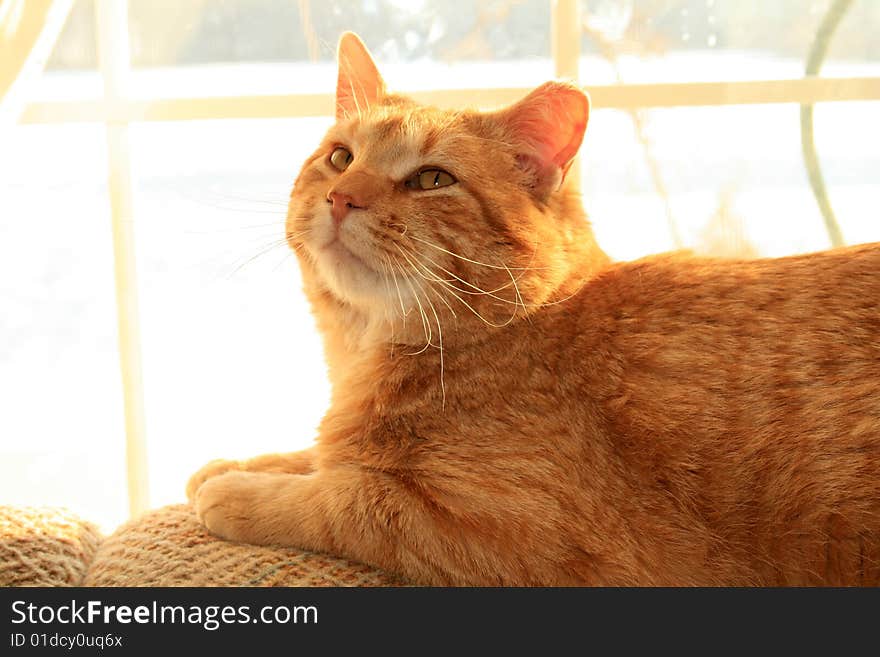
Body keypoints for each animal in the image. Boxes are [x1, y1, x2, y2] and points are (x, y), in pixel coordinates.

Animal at [187, 32, 880, 584]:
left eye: (432, 180)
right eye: (340, 157)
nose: (341, 198)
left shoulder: (508, 534)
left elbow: (350, 497)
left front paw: (242, 490)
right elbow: (319, 453)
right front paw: (241, 462)